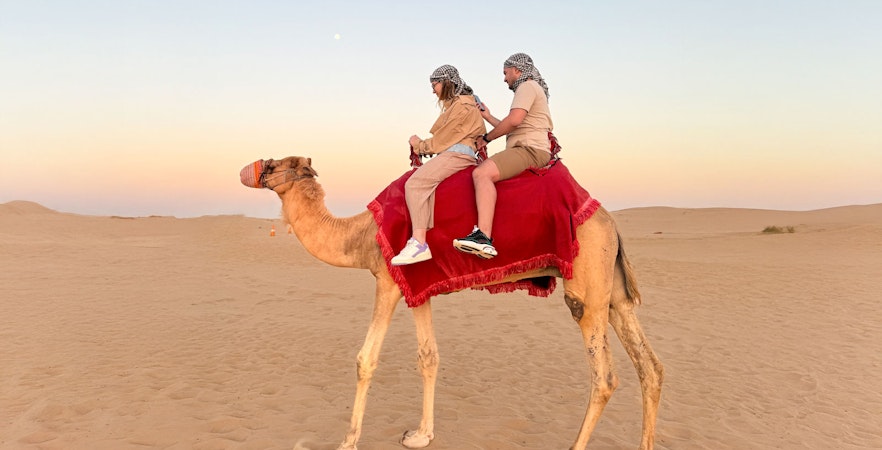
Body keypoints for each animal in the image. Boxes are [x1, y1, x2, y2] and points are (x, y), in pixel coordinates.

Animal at [240, 156, 664, 450]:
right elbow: (429, 356)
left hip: (586, 283)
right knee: (650, 366)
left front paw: (347, 441)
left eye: (275, 164)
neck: (360, 235)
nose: (249, 170)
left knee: (604, 376)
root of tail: (611, 222)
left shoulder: (388, 282)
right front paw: (421, 435)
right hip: (613, 292)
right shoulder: (417, 288)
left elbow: (365, 359)